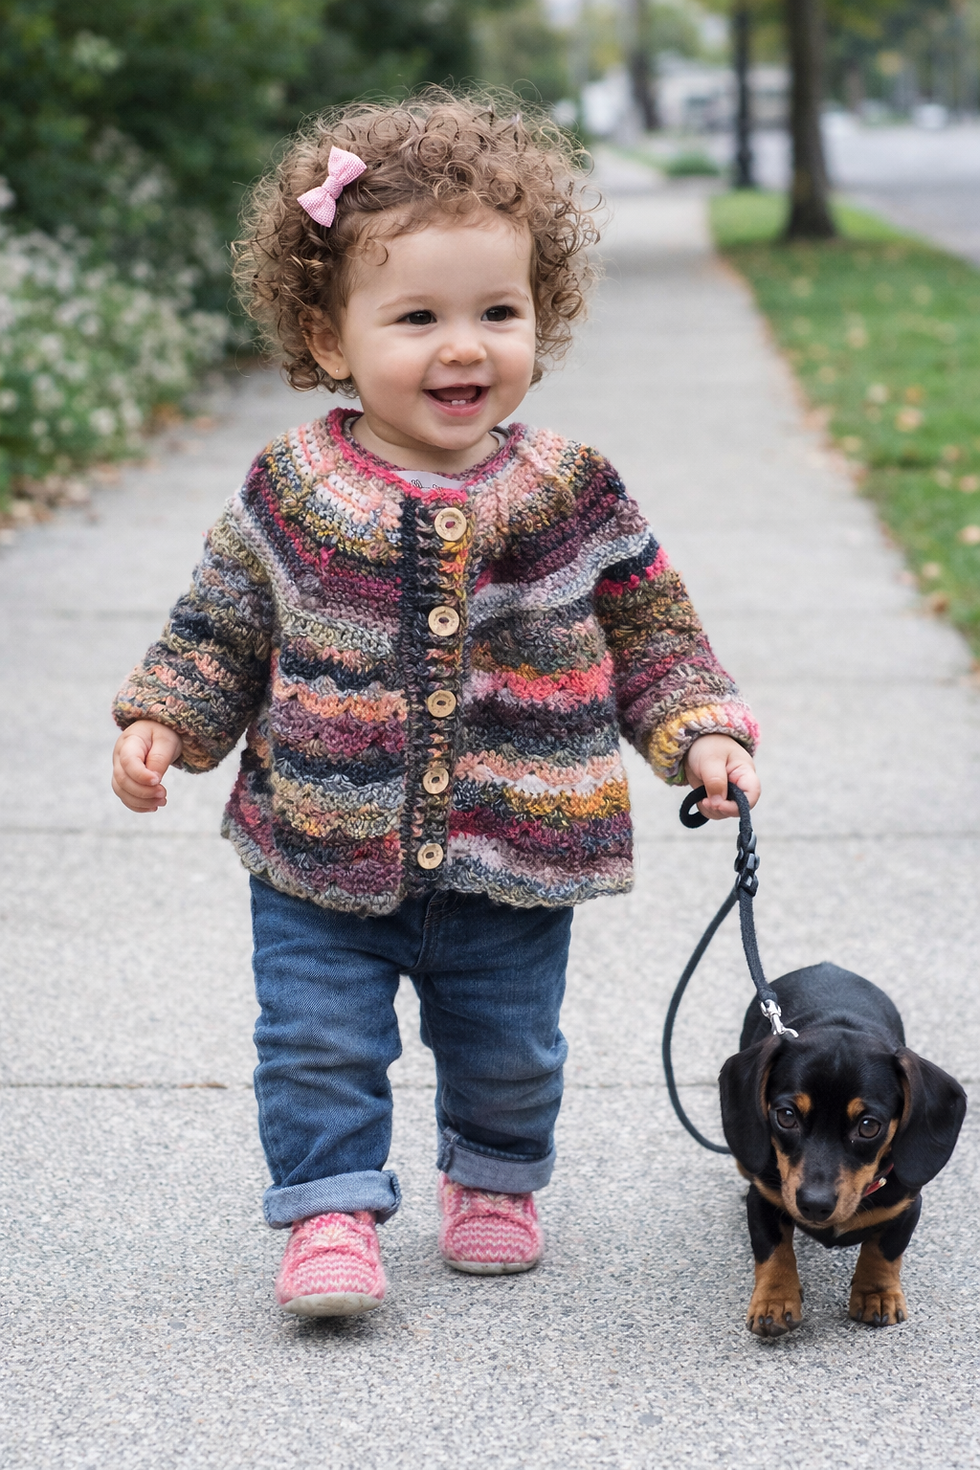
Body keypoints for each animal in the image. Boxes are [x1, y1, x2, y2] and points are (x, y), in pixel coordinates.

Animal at [719, 962, 966, 1338]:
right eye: (786, 1116)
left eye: (868, 1126)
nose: (814, 1205)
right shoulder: (762, 1199)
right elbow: (773, 1251)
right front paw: (774, 1301)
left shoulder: (907, 1205)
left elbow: (884, 1251)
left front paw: (877, 1295)